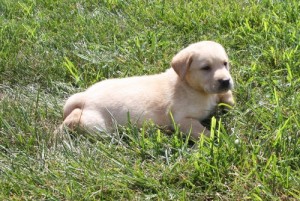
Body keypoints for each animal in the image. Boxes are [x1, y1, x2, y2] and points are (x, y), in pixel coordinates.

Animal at [61, 41, 234, 140]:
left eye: (225, 63)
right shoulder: (182, 119)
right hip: (98, 125)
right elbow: (201, 131)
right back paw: (61, 131)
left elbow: (225, 96)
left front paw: (229, 100)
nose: (226, 81)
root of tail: (85, 96)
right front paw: (215, 139)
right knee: (76, 117)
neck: (189, 85)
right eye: (206, 68)